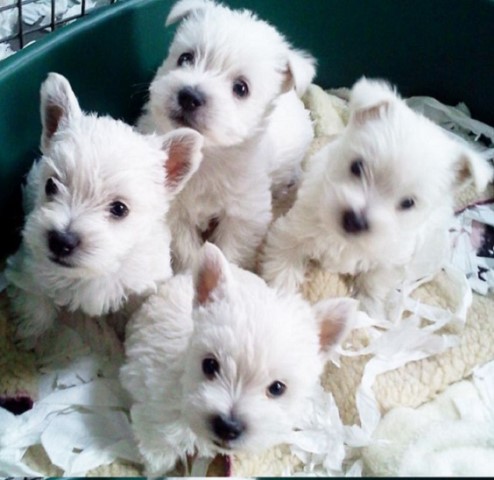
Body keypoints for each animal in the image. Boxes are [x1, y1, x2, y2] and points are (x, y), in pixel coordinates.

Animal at [5, 72, 203, 348]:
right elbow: (36, 302)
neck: (95, 269)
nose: (61, 241)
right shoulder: (29, 266)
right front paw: (32, 336)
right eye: (51, 185)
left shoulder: (141, 285)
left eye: (119, 209)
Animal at [120, 242, 356, 474]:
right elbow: (158, 454)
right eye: (209, 365)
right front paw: (154, 473)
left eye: (277, 388)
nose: (228, 427)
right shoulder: (155, 419)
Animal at [137, 0, 316, 272]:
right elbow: (185, 246)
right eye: (185, 58)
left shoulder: (244, 213)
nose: (189, 96)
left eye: (241, 88)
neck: (208, 154)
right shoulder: (175, 210)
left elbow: (231, 248)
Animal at [260, 78, 492, 318]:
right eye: (357, 167)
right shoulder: (295, 229)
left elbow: (374, 282)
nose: (355, 221)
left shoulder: (390, 260)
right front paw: (281, 298)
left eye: (408, 203)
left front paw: (370, 310)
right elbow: (284, 261)